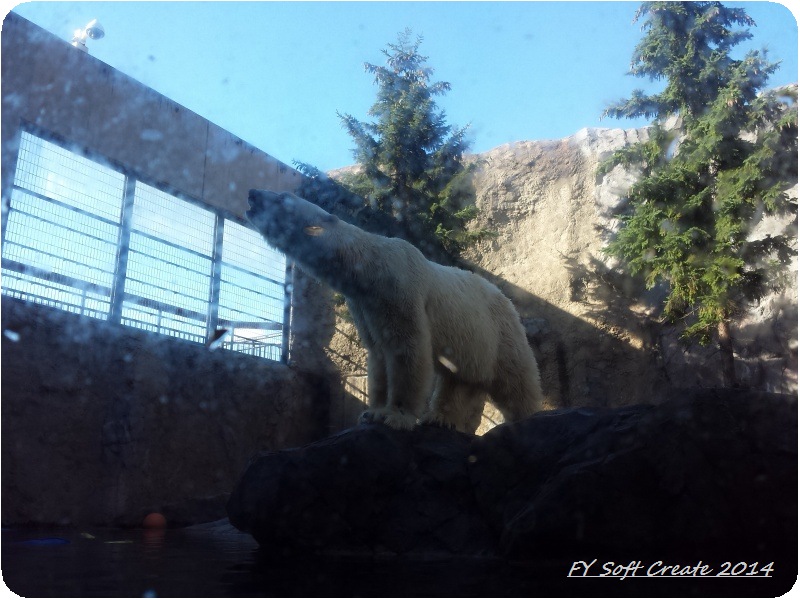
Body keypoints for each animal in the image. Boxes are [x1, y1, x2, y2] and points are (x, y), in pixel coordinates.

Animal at [245, 190, 544, 434]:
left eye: (283, 197)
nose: (252, 193)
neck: (368, 267)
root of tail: (506, 299)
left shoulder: (400, 291)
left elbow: (407, 349)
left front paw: (396, 416)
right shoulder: (365, 306)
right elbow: (379, 354)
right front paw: (372, 412)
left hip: (500, 331)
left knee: (515, 378)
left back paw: (527, 416)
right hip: (472, 340)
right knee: (460, 379)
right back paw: (443, 419)